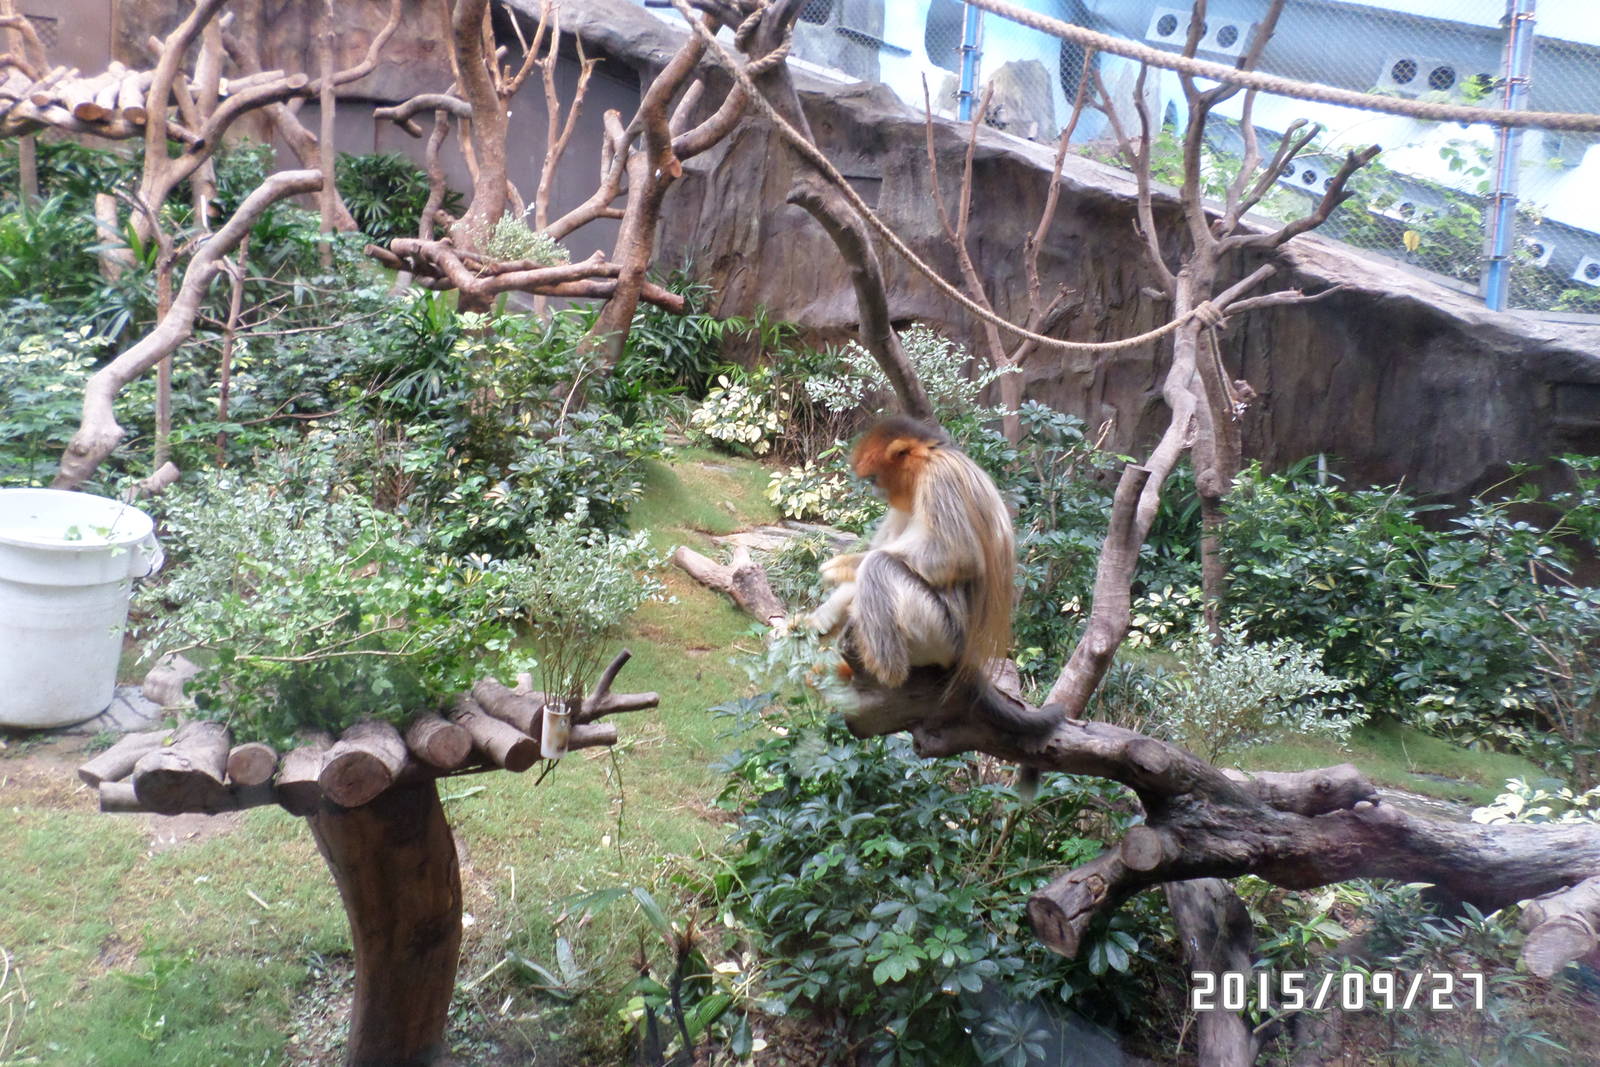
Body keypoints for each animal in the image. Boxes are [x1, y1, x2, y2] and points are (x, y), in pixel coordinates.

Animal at [807, 416, 1064, 745]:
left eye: (874, 478)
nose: (877, 493)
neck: (932, 455)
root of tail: (967, 656)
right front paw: (818, 620)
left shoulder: (938, 478)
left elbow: (960, 556)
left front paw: (844, 565)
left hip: (940, 635)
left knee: (881, 565)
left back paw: (886, 671)